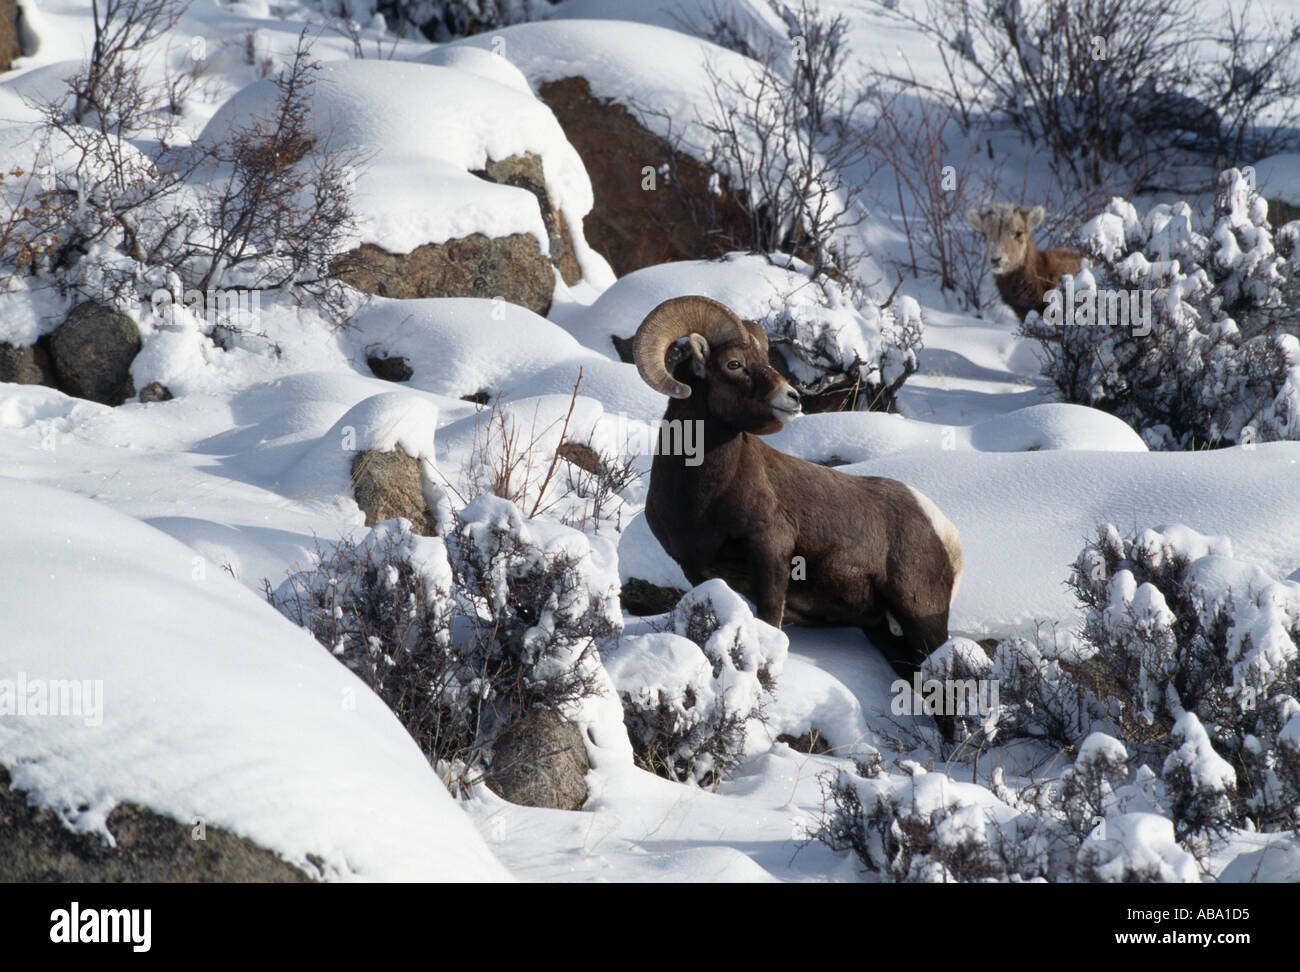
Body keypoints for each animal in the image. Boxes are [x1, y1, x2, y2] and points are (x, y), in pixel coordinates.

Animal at [631, 293, 967, 691]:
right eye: (734, 364)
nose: (792, 397)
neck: (701, 498)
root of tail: (945, 532)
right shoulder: (699, 570)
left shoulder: (770, 548)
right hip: (887, 635)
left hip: (921, 616)